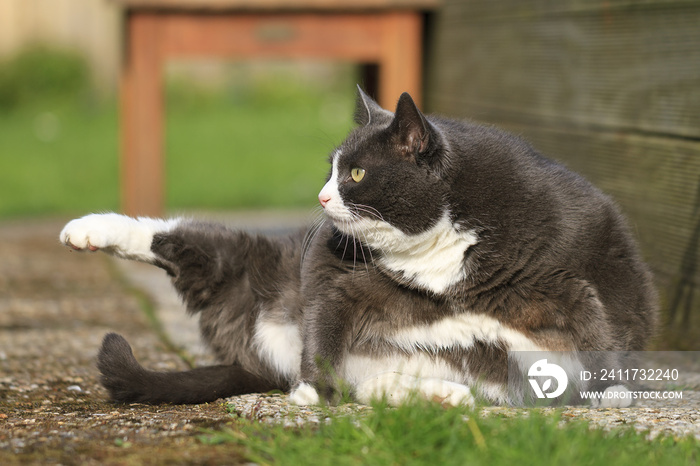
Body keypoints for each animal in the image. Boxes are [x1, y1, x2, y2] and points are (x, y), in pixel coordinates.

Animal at [58, 87, 656, 408]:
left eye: (358, 173)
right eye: (330, 168)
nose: (322, 197)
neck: (438, 249)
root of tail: (255, 353)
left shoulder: (586, 264)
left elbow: (604, 323)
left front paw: (613, 391)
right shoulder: (335, 271)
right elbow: (325, 321)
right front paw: (311, 392)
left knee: (376, 388)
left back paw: (443, 396)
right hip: (245, 264)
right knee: (179, 240)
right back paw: (85, 230)